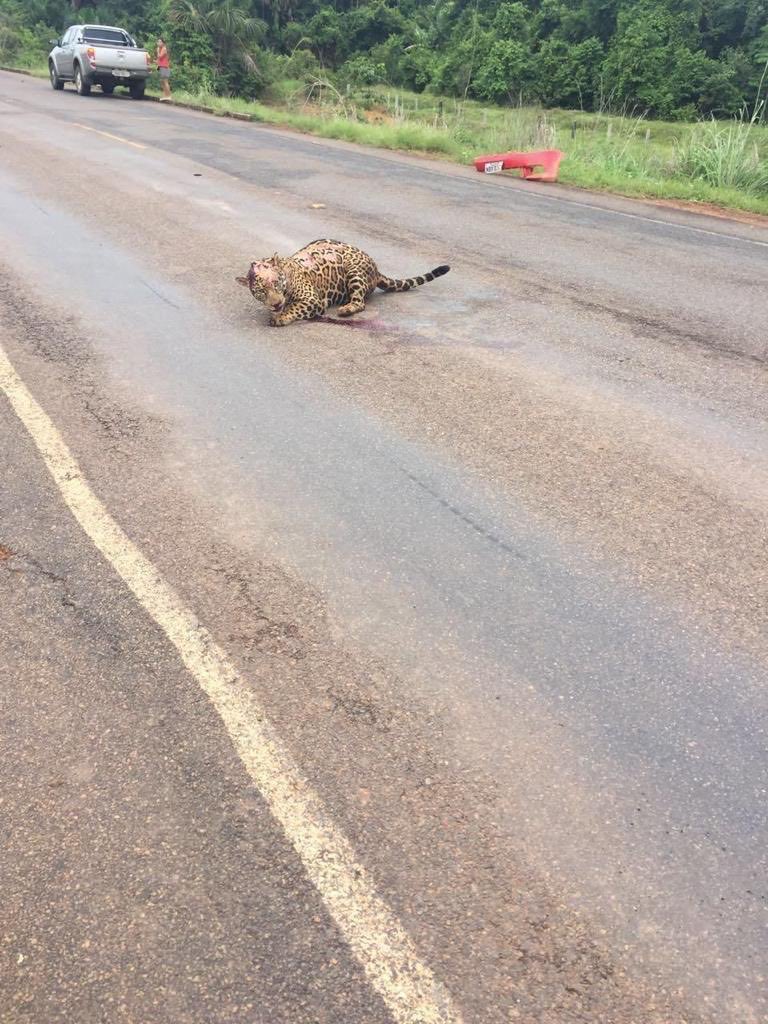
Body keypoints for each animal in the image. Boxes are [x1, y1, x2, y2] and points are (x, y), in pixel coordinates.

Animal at [236, 239, 450, 326]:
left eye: (275, 282)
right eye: (260, 291)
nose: (275, 304)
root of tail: (376, 268)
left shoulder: (313, 300)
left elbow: (293, 308)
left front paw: (281, 316)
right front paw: (276, 311)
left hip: (353, 270)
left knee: (360, 302)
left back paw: (346, 309)